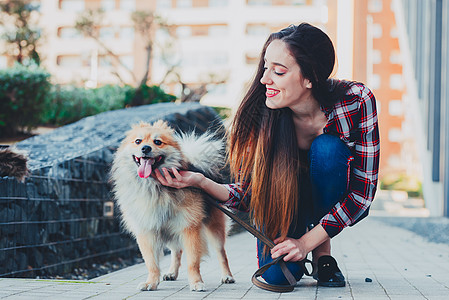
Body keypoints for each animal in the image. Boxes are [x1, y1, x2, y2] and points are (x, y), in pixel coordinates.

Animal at [110, 120, 234, 292]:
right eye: (138, 141)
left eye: (157, 142)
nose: (145, 148)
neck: (155, 188)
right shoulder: (147, 230)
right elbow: (151, 263)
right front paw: (151, 282)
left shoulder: (189, 227)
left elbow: (193, 262)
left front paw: (196, 282)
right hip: (169, 229)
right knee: (177, 251)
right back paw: (171, 273)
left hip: (214, 228)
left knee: (221, 253)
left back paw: (227, 276)